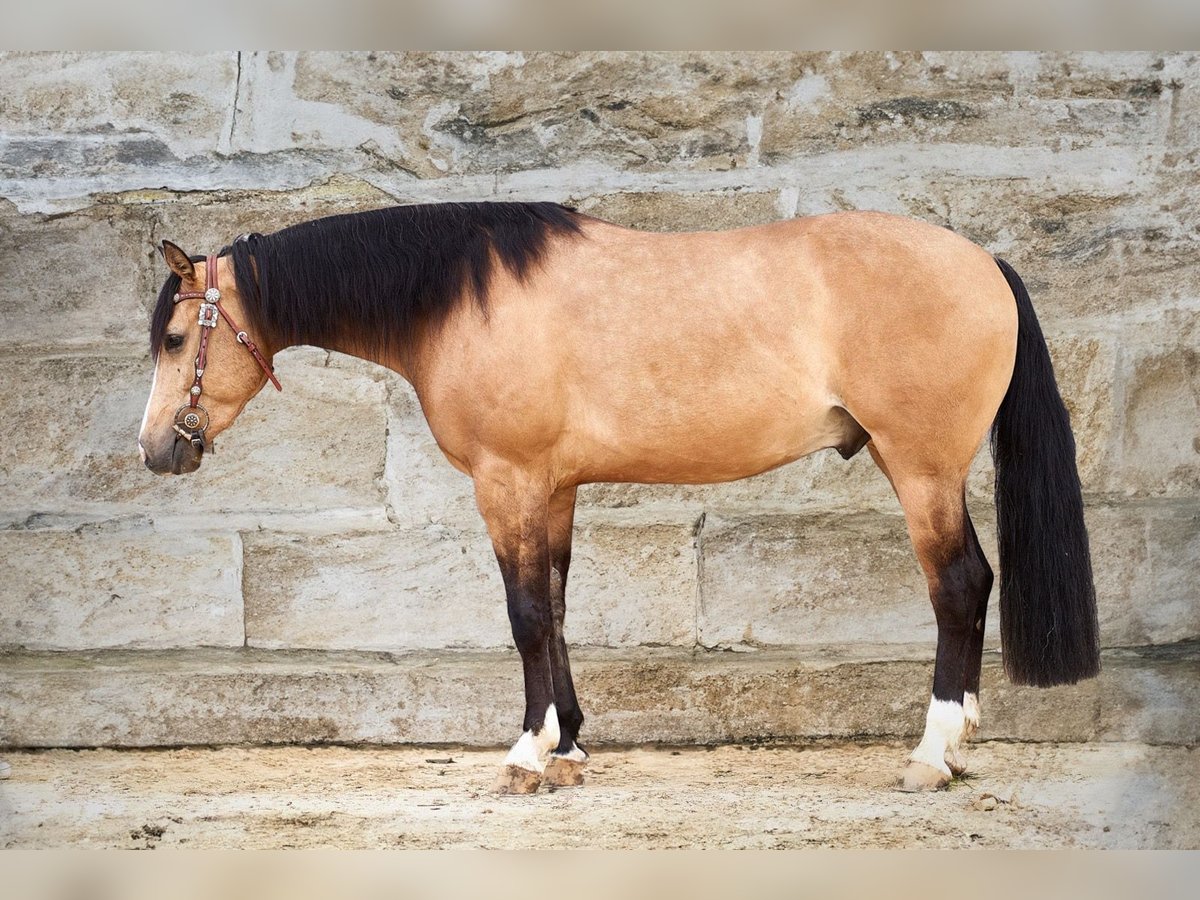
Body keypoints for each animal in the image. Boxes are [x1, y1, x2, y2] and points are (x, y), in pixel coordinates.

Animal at [138, 199, 1099, 796]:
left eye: (178, 337)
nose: (155, 450)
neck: (463, 298)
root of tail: (985, 263)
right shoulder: (555, 488)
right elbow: (559, 607)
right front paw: (568, 748)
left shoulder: (509, 481)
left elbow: (526, 614)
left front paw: (526, 755)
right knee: (973, 585)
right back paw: (961, 743)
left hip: (921, 469)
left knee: (959, 586)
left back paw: (932, 754)